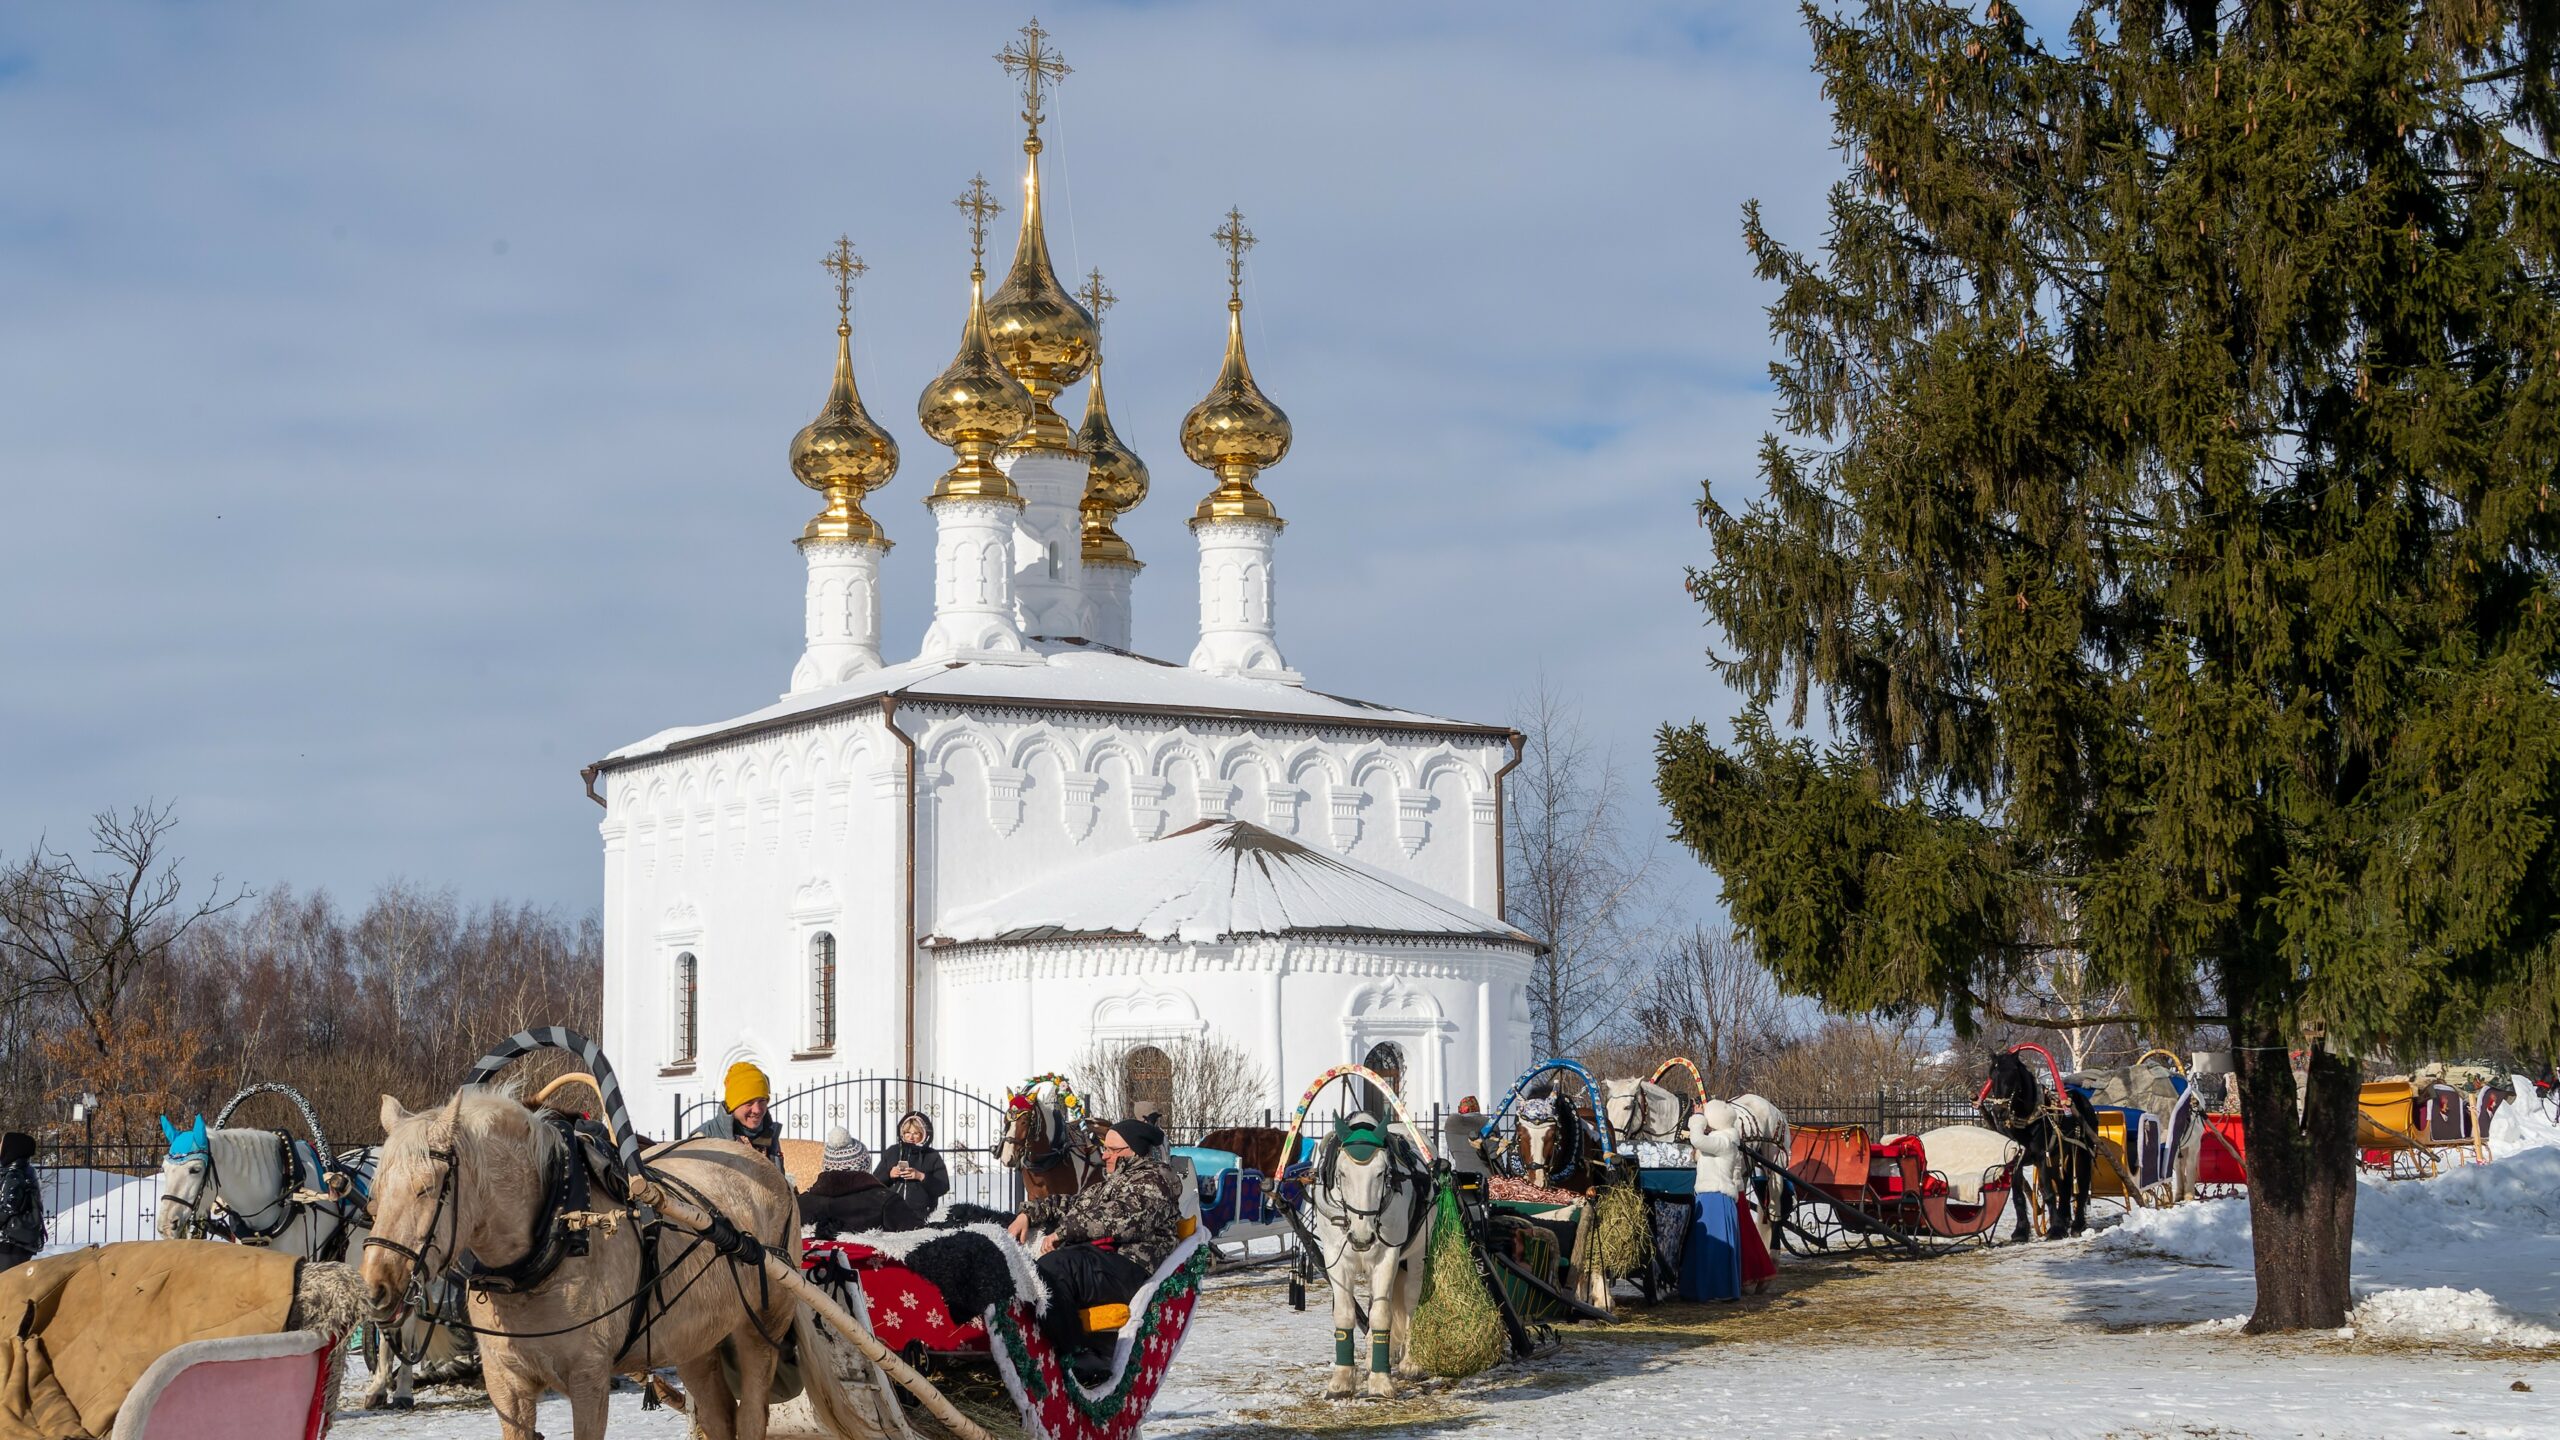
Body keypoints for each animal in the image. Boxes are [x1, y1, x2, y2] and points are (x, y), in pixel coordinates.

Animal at [154, 1112, 465, 1404]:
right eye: (165, 1168)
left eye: (195, 1169)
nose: (168, 1223)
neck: (282, 1196)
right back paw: (380, 1385)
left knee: (406, 1323)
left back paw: (401, 1390)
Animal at [355, 1086, 803, 1434]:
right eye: (375, 1192)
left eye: (427, 1188)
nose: (375, 1289)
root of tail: (771, 1173)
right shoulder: (506, 1384)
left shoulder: (589, 1379)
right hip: (696, 1341)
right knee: (717, 1414)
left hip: (761, 1329)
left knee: (752, 1414)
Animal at [1300, 1112, 1443, 1393]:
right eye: (1342, 1173)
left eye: (1381, 1173)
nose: (1362, 1236)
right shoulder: (1335, 1259)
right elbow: (1345, 1313)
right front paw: (1342, 1378)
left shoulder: (1387, 1258)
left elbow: (1381, 1315)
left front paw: (1380, 1381)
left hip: (1418, 1254)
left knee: (1411, 1299)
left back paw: (1410, 1362)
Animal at [1976, 1040, 2099, 1235]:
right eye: (1991, 1075)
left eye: (2012, 1074)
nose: (1999, 1111)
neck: (2026, 1121)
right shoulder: (2014, 1161)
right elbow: (2018, 1195)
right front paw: (2021, 1230)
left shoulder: (2042, 1156)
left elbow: (2047, 1192)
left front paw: (2056, 1230)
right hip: (2058, 1156)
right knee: (2064, 1186)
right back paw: (2065, 1218)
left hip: (2082, 1153)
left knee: (2081, 1184)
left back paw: (2077, 1224)